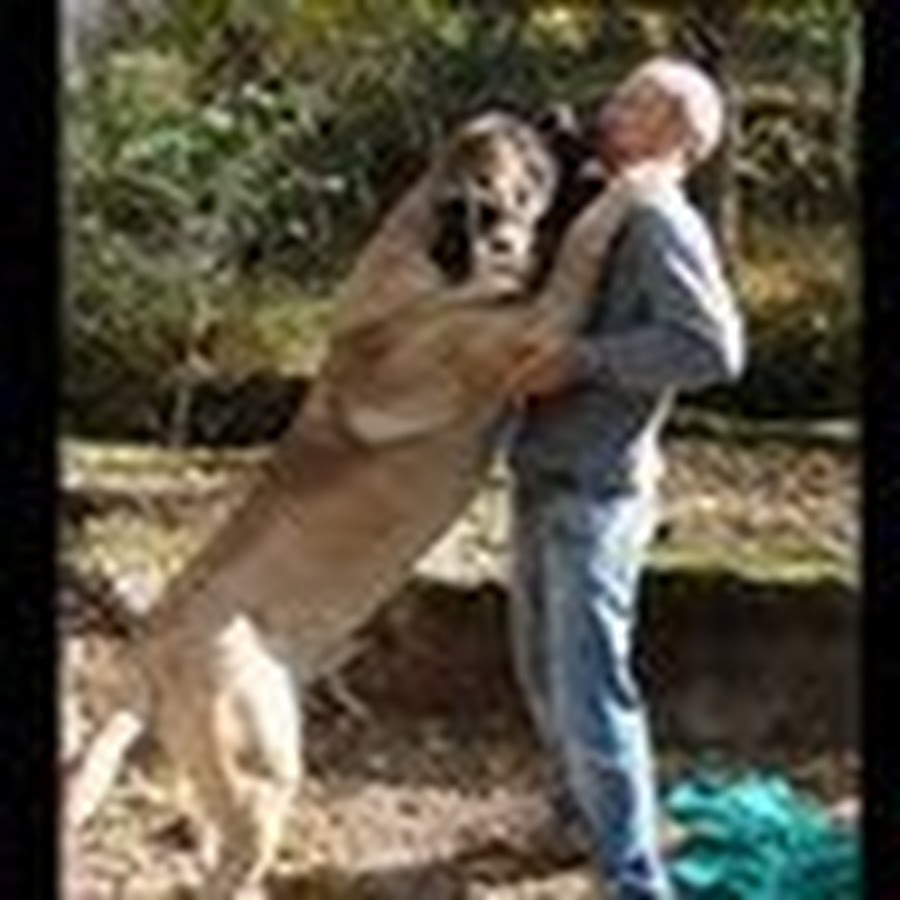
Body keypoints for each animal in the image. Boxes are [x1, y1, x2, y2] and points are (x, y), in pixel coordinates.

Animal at [65, 109, 660, 898]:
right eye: (528, 167)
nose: (560, 117)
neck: (425, 262)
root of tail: (147, 647)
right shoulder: (537, 329)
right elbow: (581, 247)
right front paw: (627, 191)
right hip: (260, 756)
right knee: (234, 855)